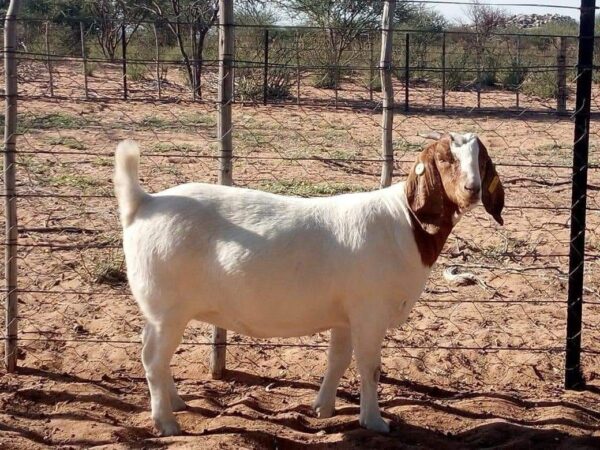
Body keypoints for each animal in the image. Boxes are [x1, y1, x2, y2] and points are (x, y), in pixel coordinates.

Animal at [115, 132, 504, 434]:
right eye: (445, 158)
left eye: (481, 159)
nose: (472, 189)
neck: (406, 223)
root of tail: (144, 203)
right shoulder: (370, 311)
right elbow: (369, 366)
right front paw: (375, 422)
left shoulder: (345, 316)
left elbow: (338, 360)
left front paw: (323, 408)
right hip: (168, 308)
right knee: (153, 358)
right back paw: (166, 422)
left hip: (159, 310)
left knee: (153, 353)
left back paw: (177, 402)